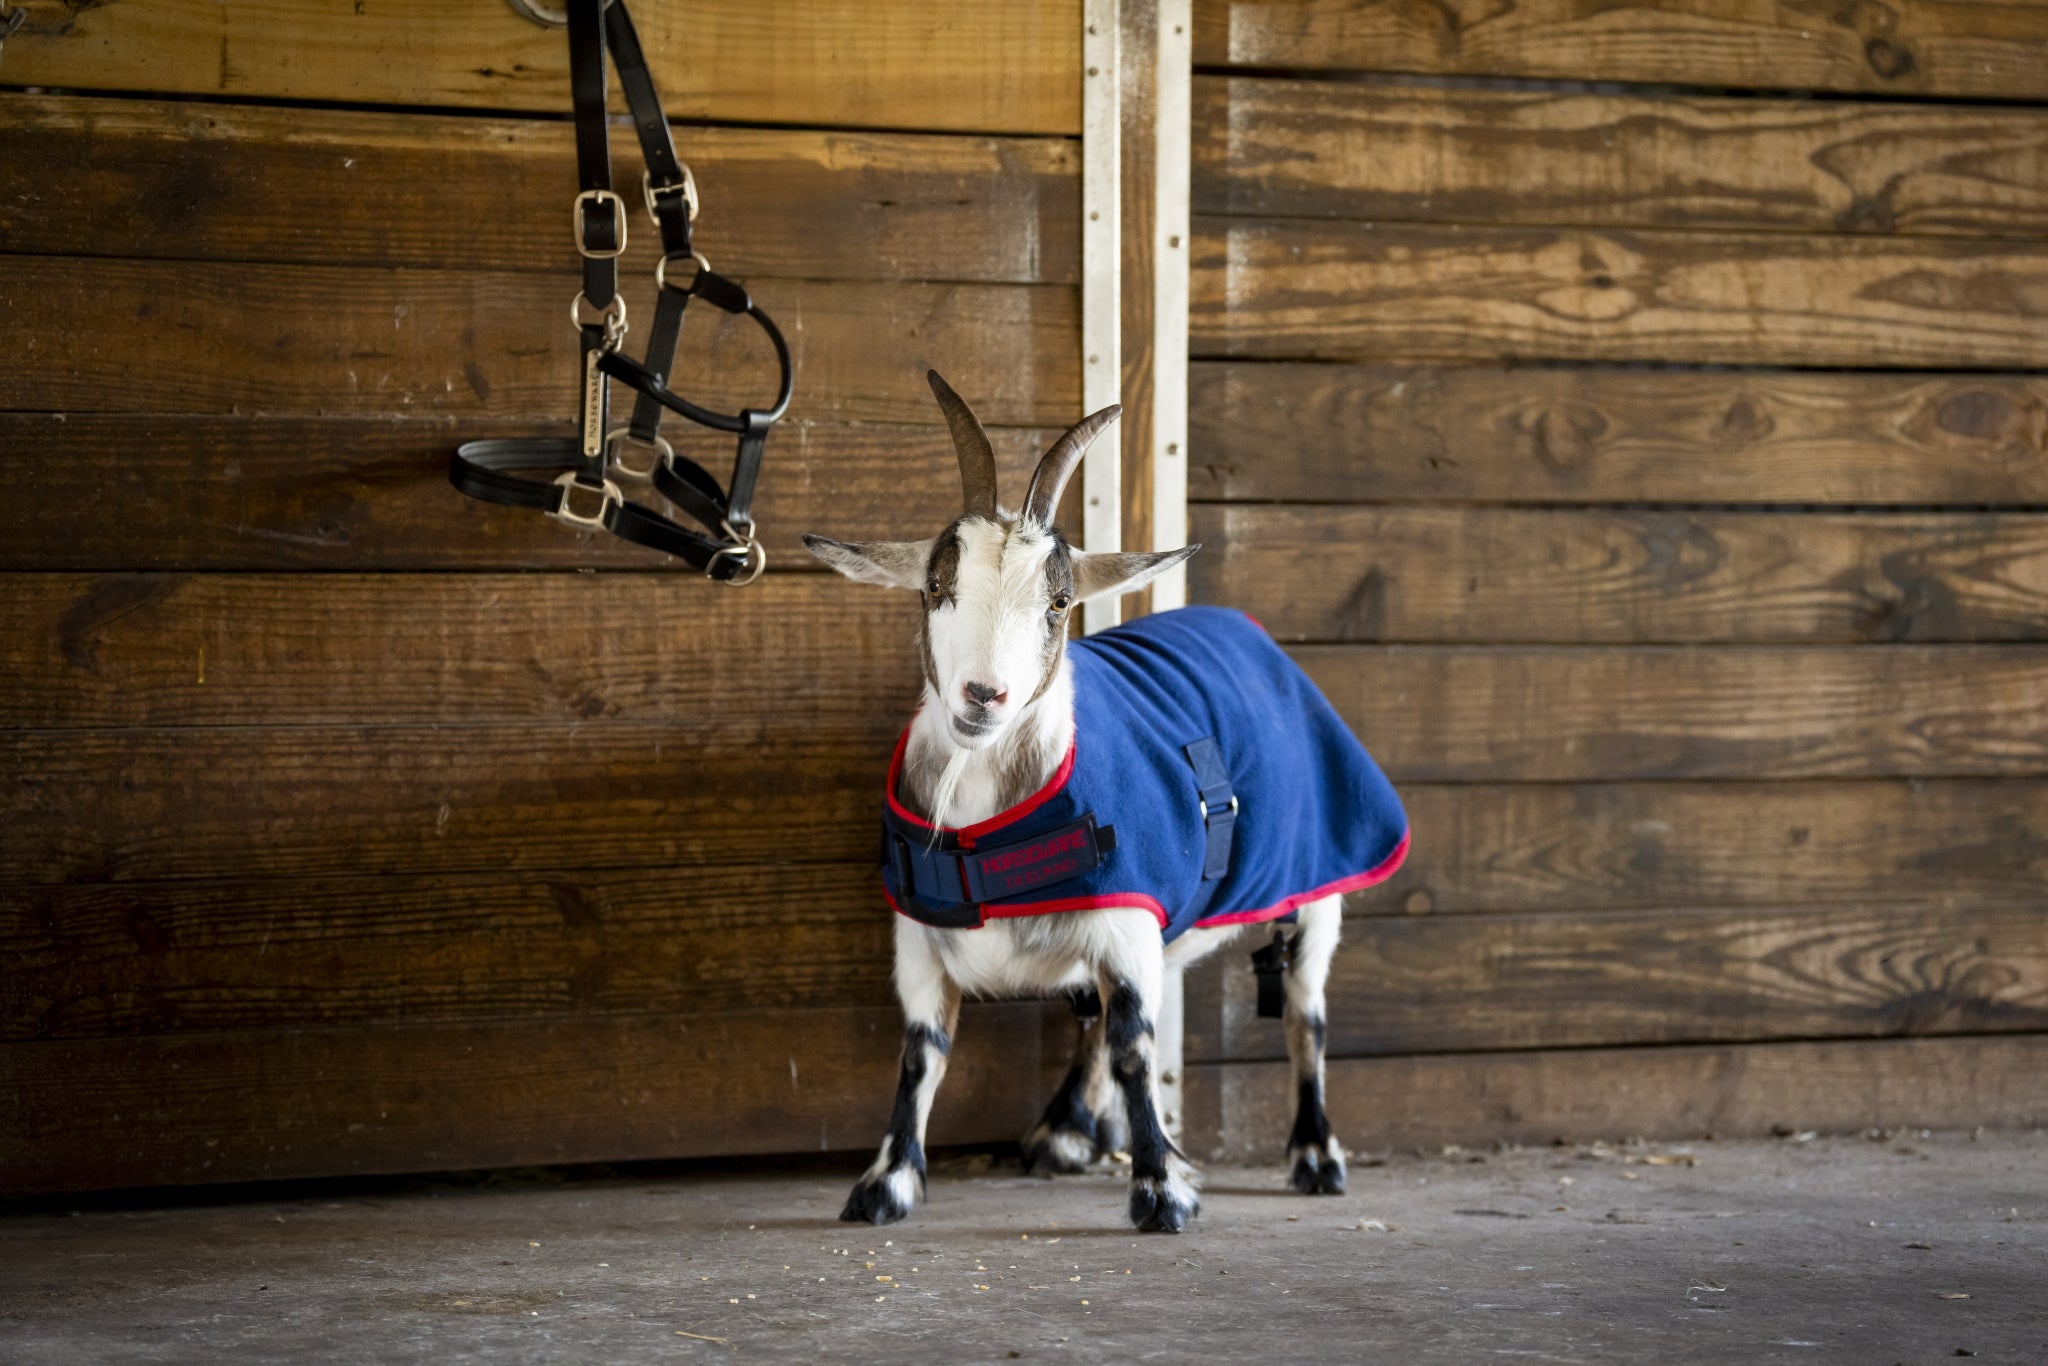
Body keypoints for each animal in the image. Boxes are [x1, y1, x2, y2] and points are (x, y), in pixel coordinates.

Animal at [805, 372, 1409, 1233]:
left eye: (1058, 603)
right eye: (935, 587)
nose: (983, 695)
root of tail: (1243, 628)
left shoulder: (1129, 916)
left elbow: (1134, 1046)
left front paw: (1162, 1190)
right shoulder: (921, 937)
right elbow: (921, 1053)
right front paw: (886, 1182)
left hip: (1319, 876)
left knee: (1304, 1011)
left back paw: (1316, 1155)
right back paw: (1062, 1132)